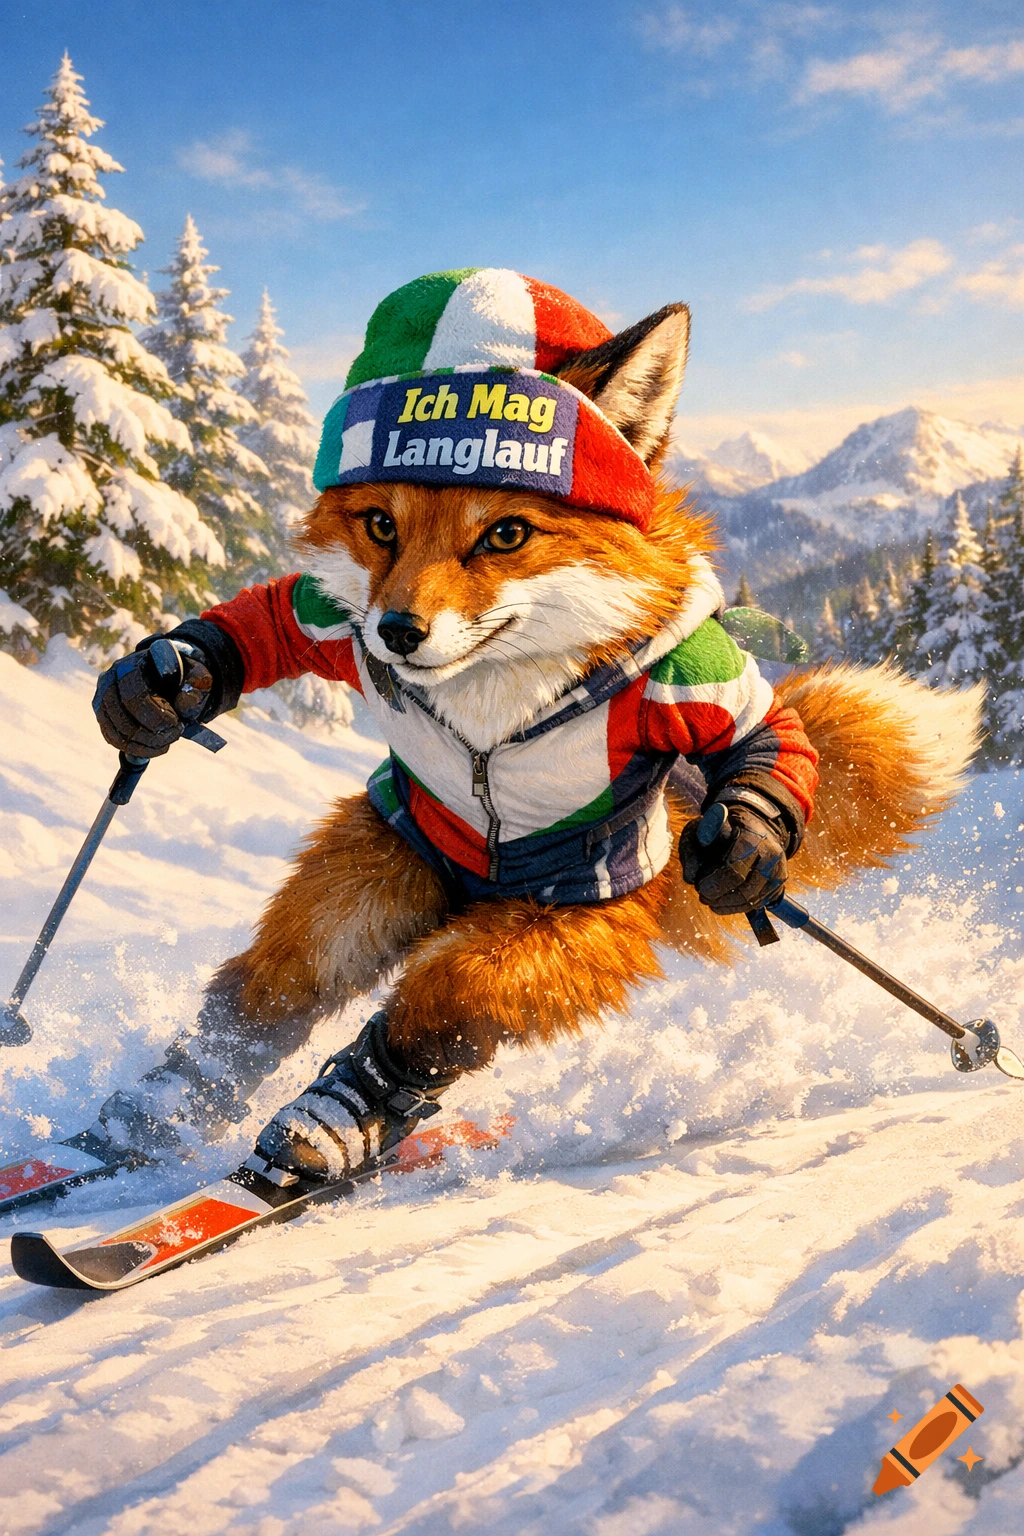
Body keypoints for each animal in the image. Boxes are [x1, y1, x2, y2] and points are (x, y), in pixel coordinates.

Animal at [90, 267, 981, 1187]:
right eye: (382, 526)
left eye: (505, 533)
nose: (396, 633)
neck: (490, 714)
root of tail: (472, 887)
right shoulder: (330, 621)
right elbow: (269, 616)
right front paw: (164, 681)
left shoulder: (679, 680)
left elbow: (760, 736)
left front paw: (746, 845)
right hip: (383, 859)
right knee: (280, 981)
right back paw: (140, 1121)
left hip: (562, 931)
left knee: (442, 1002)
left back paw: (329, 1124)